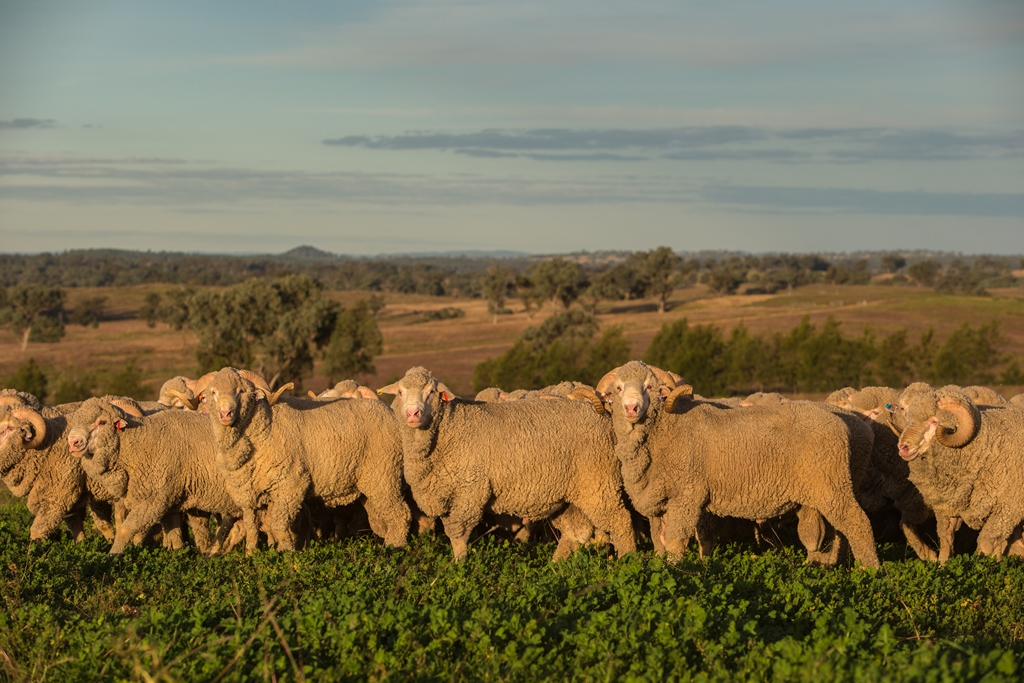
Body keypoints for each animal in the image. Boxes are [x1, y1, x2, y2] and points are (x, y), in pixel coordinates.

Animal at [178, 366, 409, 552]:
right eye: (212, 393)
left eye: (241, 391)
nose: (225, 413)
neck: (264, 426)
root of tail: (388, 412)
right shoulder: (249, 494)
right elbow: (253, 529)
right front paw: (252, 555)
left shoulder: (291, 485)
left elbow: (279, 526)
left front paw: (287, 554)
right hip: (369, 484)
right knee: (381, 519)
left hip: (383, 476)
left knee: (399, 515)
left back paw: (393, 550)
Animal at [380, 368, 634, 561]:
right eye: (401, 392)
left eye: (432, 391)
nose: (413, 413)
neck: (448, 430)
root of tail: (601, 414)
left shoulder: (471, 490)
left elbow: (457, 532)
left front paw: (459, 565)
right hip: (567, 496)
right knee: (576, 533)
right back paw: (557, 566)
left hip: (598, 484)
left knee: (620, 522)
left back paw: (628, 563)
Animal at [598, 362, 880, 565]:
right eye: (618, 388)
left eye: (649, 386)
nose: (631, 408)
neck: (666, 430)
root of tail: (840, 422)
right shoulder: (660, 501)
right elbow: (660, 541)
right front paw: (660, 565)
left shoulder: (687, 494)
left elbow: (675, 541)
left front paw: (674, 570)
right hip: (824, 490)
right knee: (834, 531)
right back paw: (825, 566)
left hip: (832, 485)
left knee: (857, 523)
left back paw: (868, 570)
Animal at [897, 387, 1024, 557]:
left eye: (934, 422)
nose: (902, 447)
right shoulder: (949, 506)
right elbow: (946, 540)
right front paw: (939, 562)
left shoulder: (1008, 508)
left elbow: (985, 544)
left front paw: (981, 562)